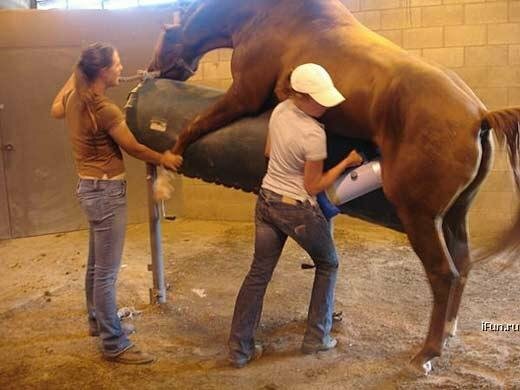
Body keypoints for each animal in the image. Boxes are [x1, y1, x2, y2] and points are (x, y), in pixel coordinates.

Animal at [147, 0, 520, 374]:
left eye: (164, 33)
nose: (151, 71)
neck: (259, 16)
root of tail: (479, 117)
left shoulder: (244, 96)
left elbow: (196, 124)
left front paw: (168, 167)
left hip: (421, 219)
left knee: (444, 275)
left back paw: (427, 353)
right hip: (456, 216)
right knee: (463, 264)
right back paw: (449, 332)